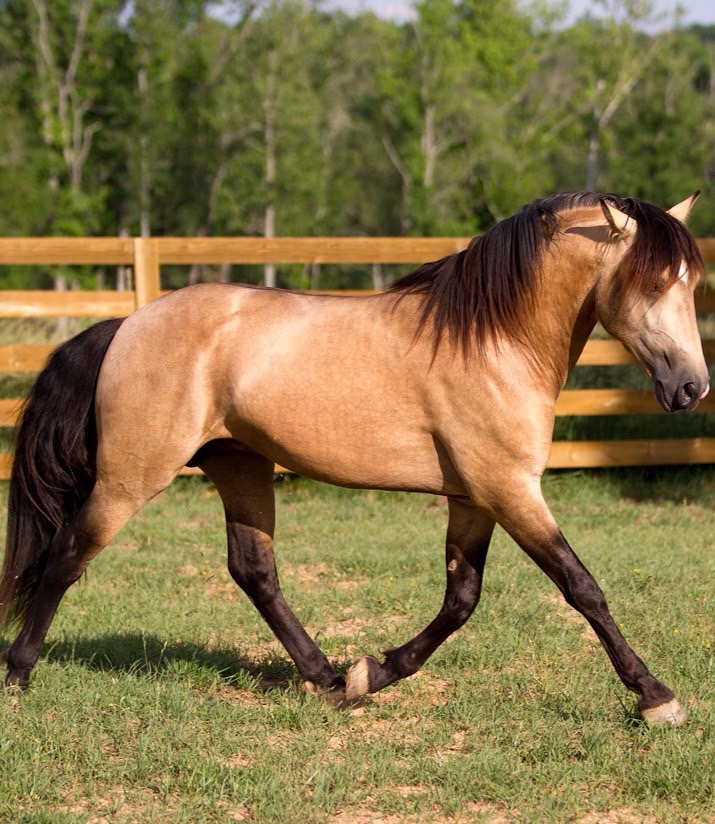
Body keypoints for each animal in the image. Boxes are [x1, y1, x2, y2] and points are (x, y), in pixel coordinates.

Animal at [0, 191, 709, 726]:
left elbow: (461, 598)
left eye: (693, 283)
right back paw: (19, 673)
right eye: (652, 281)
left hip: (240, 467)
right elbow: (581, 587)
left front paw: (372, 673)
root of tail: (126, 325)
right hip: (129, 479)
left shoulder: (475, 497)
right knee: (67, 556)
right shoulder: (510, 488)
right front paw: (656, 698)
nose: (691, 388)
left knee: (254, 570)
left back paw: (324, 675)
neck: (494, 341)